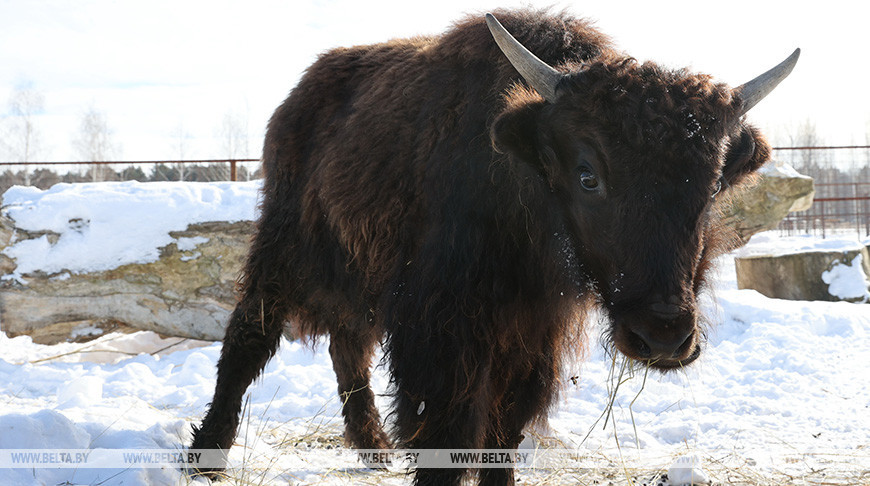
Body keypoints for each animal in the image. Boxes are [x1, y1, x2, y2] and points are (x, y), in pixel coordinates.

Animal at [189, 8, 796, 486]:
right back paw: (207, 457)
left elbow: (504, 431)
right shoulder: (443, 334)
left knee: (347, 347)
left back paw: (375, 450)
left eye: (711, 184)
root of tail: (301, 95)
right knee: (248, 340)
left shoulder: (532, 335)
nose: (664, 335)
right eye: (588, 175)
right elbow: (447, 433)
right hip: (281, 249)